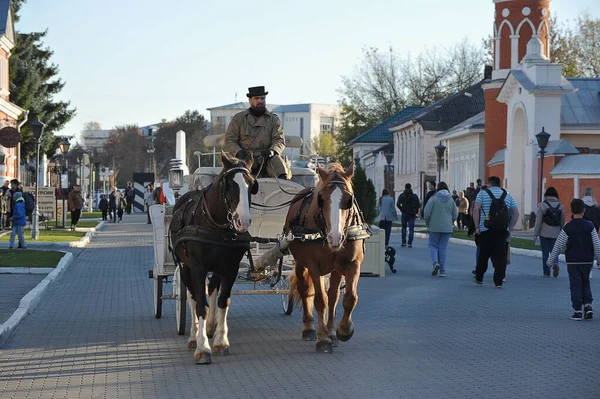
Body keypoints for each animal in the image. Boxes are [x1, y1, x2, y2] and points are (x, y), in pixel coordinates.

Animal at [171, 152, 260, 364]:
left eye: (252, 185)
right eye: (228, 185)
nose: (243, 221)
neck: (216, 226)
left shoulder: (230, 269)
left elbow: (223, 301)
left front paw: (221, 341)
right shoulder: (197, 268)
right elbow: (199, 305)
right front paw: (203, 348)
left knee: (211, 289)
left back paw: (211, 327)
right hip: (184, 267)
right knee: (192, 297)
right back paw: (194, 336)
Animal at [284, 162, 368, 354]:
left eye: (349, 199)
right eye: (321, 199)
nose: (334, 238)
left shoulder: (353, 264)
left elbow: (349, 297)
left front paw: (343, 330)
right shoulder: (314, 265)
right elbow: (319, 300)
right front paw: (323, 339)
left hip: (336, 269)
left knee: (333, 296)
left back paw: (331, 332)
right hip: (301, 264)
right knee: (305, 290)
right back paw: (309, 328)